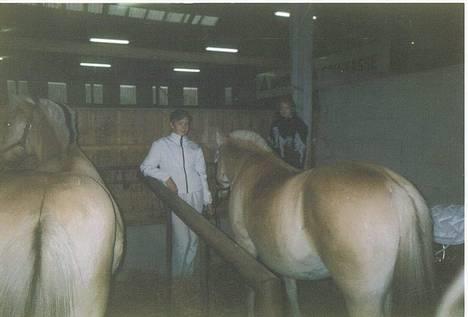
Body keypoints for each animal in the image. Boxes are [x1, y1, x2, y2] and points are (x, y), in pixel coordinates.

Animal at [216, 129, 436, 316]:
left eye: (216, 155)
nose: (218, 186)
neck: (251, 167)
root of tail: (391, 184)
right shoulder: (283, 261)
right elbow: (291, 290)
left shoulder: (246, 247)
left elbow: (250, 290)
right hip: (386, 291)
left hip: (363, 299)